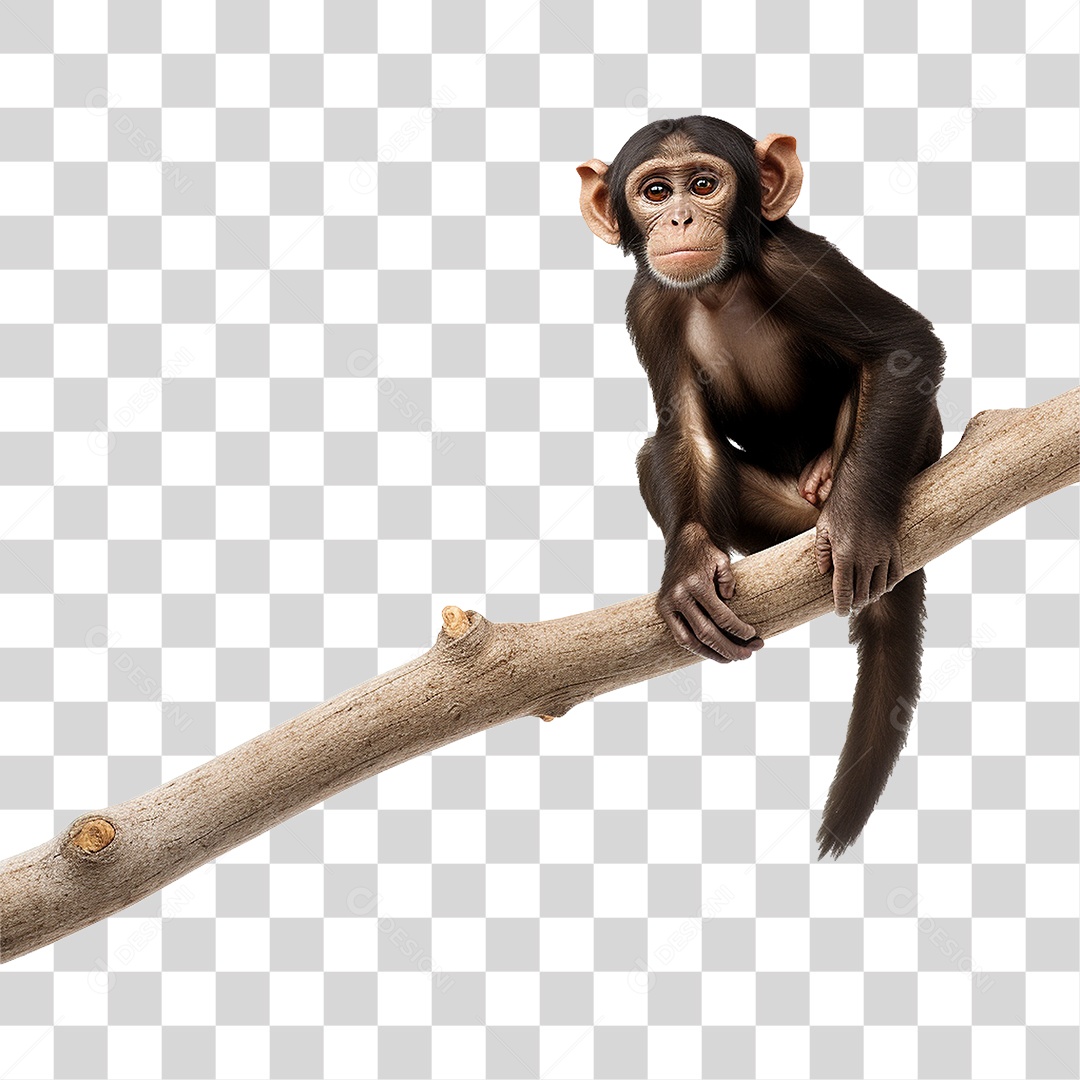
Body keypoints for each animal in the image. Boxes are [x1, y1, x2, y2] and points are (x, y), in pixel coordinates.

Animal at [577, 116, 944, 859]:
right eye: (655, 191)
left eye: (703, 184)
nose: (680, 217)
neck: (720, 286)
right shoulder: (649, 306)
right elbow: (684, 433)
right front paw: (689, 571)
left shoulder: (800, 267)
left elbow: (903, 348)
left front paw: (858, 524)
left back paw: (839, 479)